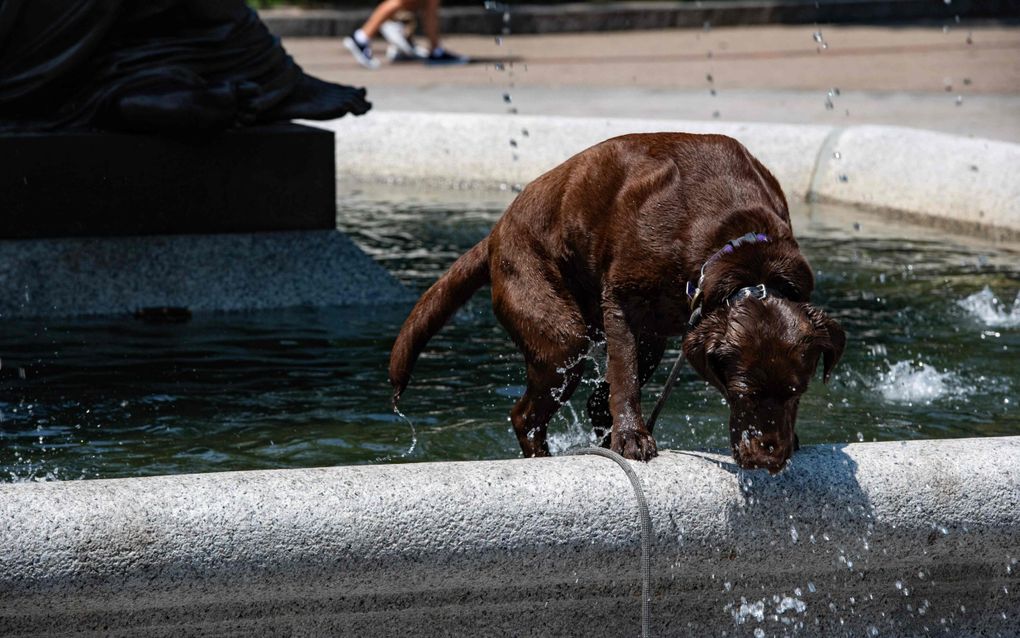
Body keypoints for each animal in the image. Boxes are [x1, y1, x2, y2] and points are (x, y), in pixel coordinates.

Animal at [389, 132, 844, 473]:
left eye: (797, 392)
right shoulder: (621, 301)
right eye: (742, 393)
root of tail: (495, 234)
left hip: (651, 338)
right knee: (527, 415)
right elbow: (624, 380)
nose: (770, 458)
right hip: (561, 334)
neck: (743, 255)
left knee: (592, 402)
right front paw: (632, 437)